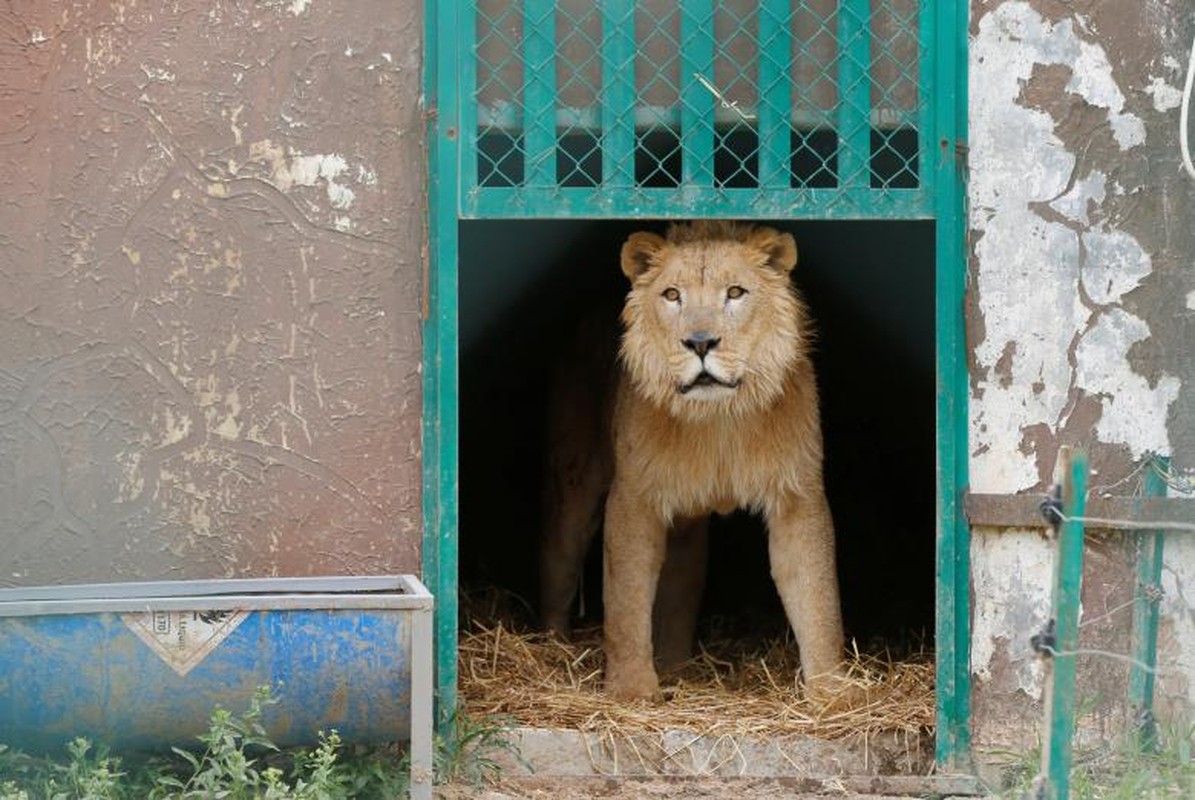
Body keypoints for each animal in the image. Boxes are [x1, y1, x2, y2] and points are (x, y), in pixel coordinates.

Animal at [542, 220, 850, 698]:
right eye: (672, 295)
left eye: (736, 292)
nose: (700, 343)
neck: (717, 416)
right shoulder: (635, 497)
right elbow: (626, 599)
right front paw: (631, 691)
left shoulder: (796, 494)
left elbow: (817, 596)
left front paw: (832, 693)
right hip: (574, 486)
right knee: (559, 560)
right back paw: (552, 648)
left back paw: (676, 666)